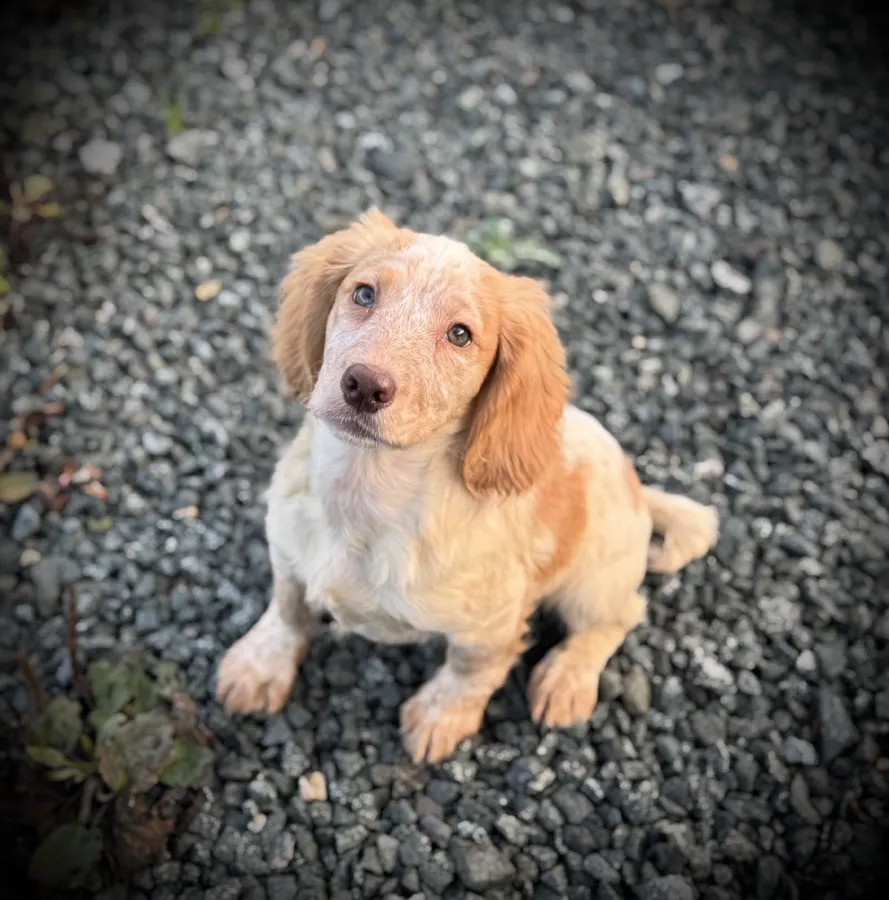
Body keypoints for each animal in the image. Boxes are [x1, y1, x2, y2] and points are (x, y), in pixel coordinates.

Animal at [216, 209, 718, 763]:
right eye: (364, 294)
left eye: (460, 334)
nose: (364, 385)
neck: (365, 492)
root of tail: (639, 490)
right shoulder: (288, 550)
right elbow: (287, 609)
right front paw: (259, 665)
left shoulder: (491, 625)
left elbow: (469, 671)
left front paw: (440, 717)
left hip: (593, 583)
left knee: (621, 616)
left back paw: (566, 677)